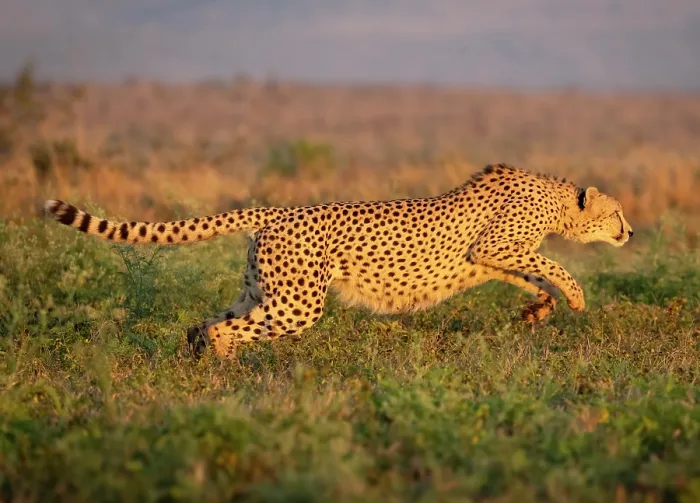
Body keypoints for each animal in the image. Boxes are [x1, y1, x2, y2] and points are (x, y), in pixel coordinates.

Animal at [45, 163, 633, 359]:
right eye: (618, 212)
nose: (630, 232)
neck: (557, 198)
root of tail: (279, 210)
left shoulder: (491, 260)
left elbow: (530, 274)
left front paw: (539, 309)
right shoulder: (492, 247)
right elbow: (551, 266)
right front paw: (575, 296)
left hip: (263, 290)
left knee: (206, 321)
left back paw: (198, 363)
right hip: (298, 304)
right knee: (224, 329)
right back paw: (224, 372)